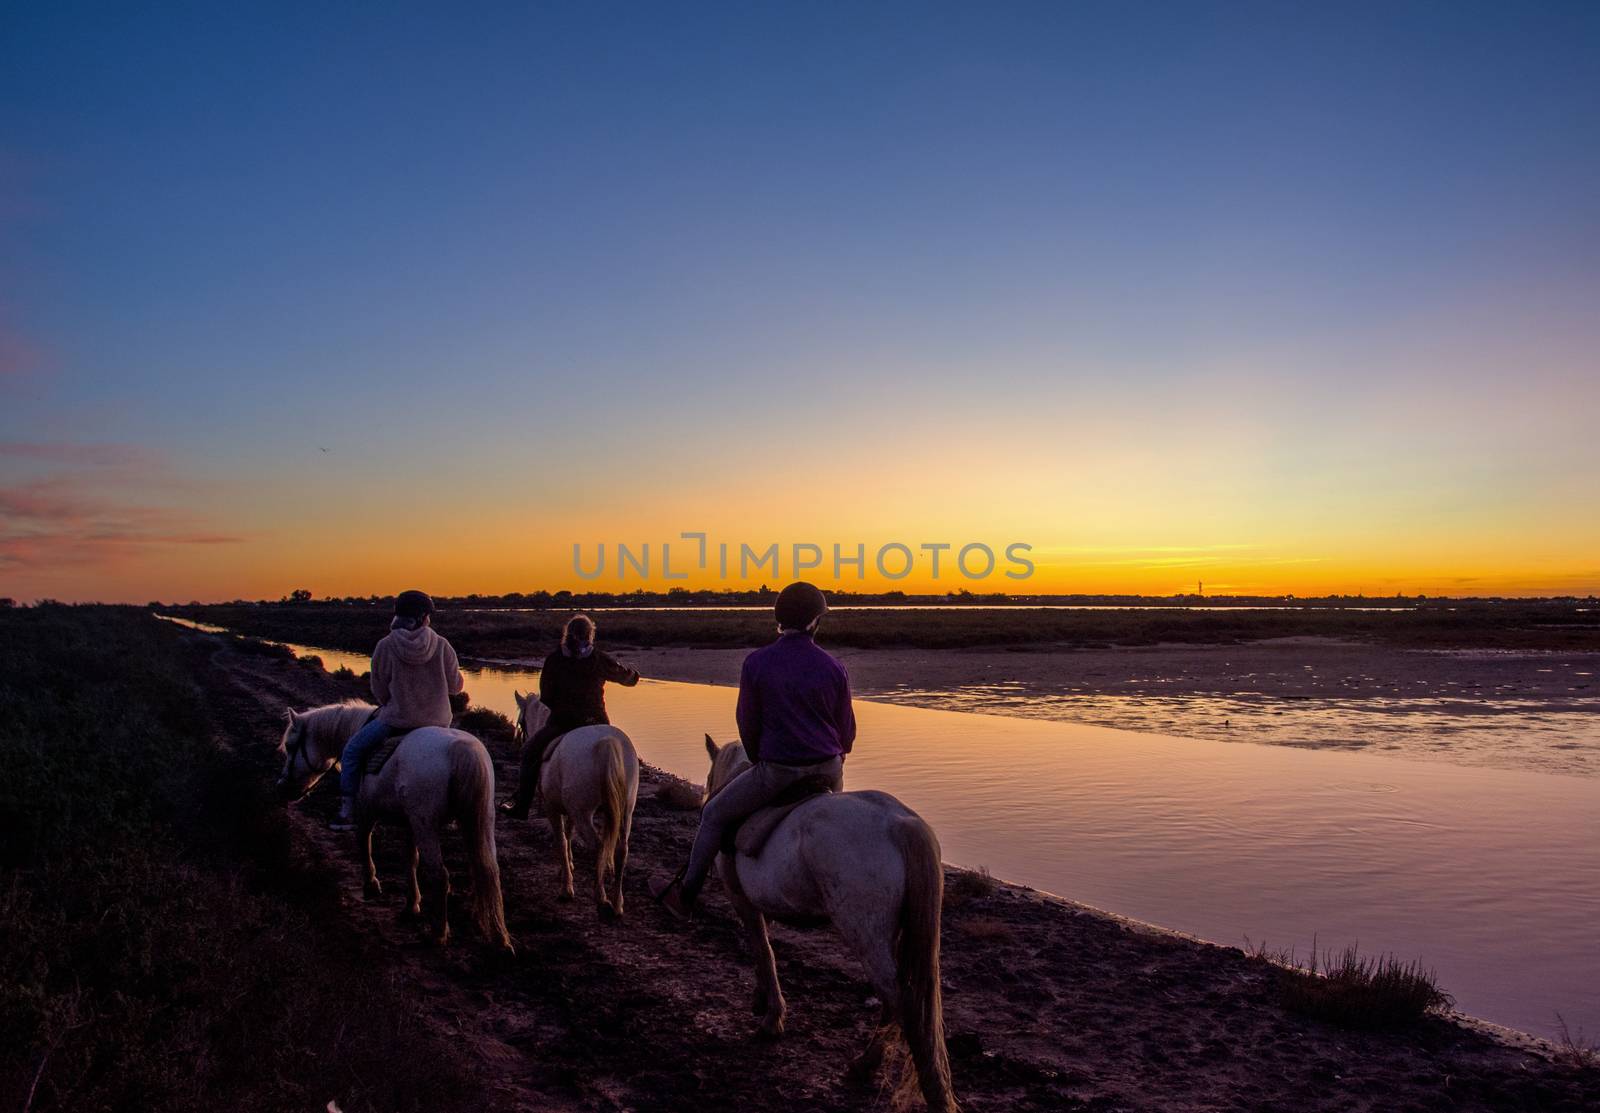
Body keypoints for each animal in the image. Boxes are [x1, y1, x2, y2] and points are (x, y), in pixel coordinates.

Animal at [275, 700, 512, 953]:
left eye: (290, 746)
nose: (282, 789)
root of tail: (462, 750)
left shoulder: (367, 811)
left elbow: (364, 842)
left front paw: (371, 884)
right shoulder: (409, 823)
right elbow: (410, 860)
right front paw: (411, 905)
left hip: (427, 825)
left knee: (440, 875)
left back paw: (438, 934)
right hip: (480, 820)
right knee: (488, 870)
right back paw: (498, 937)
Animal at [512, 690, 636, 914]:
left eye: (521, 722)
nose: (519, 743)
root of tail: (607, 744)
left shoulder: (553, 808)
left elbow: (561, 839)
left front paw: (566, 887)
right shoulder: (569, 809)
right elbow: (568, 834)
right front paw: (568, 867)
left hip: (583, 813)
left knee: (598, 846)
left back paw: (601, 897)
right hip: (625, 812)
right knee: (621, 851)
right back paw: (617, 903)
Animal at [697, 735, 947, 1106]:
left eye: (708, 777)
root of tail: (900, 823)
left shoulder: (741, 898)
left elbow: (761, 948)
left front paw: (772, 1018)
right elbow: (764, 947)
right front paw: (762, 999)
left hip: (866, 935)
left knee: (898, 1001)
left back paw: (866, 1064)